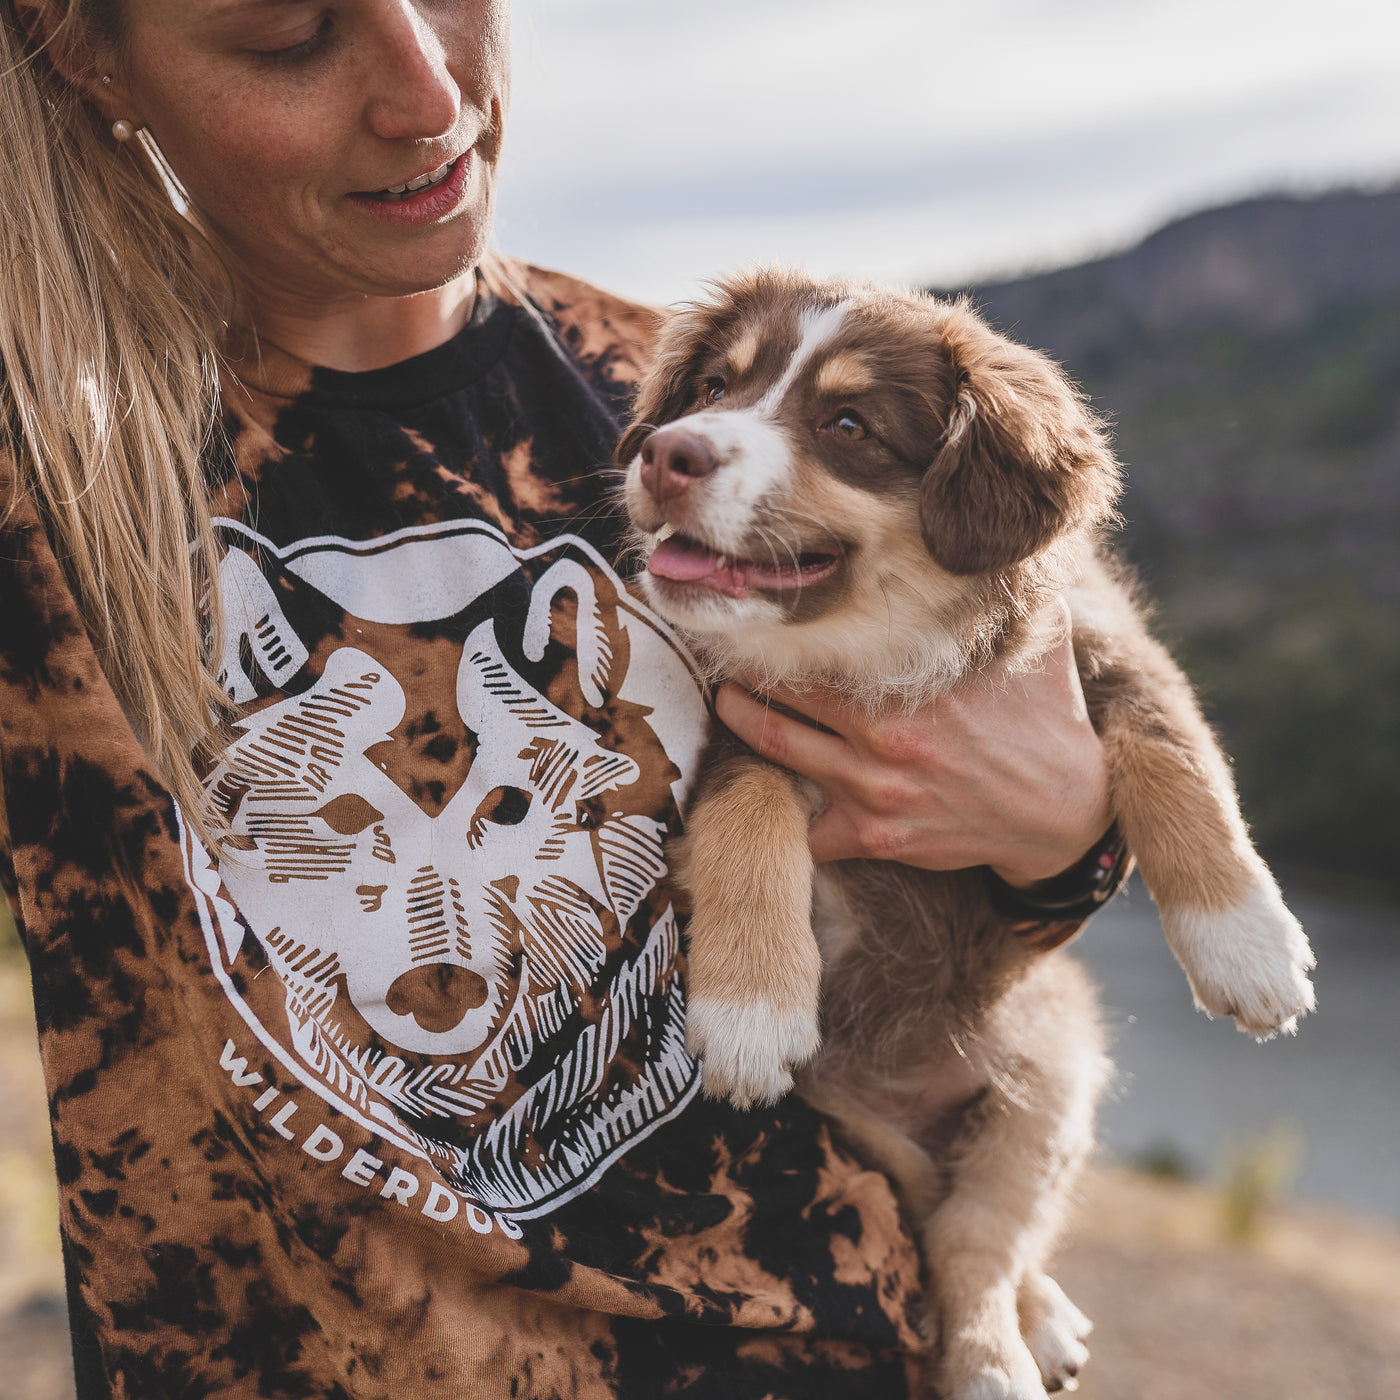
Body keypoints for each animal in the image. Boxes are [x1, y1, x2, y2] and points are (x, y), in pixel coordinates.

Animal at [618, 270, 1316, 1400]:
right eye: (716, 386)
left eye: (848, 425)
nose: (665, 453)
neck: (878, 645)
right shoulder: (732, 720)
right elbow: (747, 813)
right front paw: (753, 1004)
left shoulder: (1101, 640)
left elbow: (1171, 749)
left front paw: (1246, 944)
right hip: (871, 1124)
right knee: (953, 1230)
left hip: (1048, 1079)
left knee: (979, 1240)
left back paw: (1004, 1350)